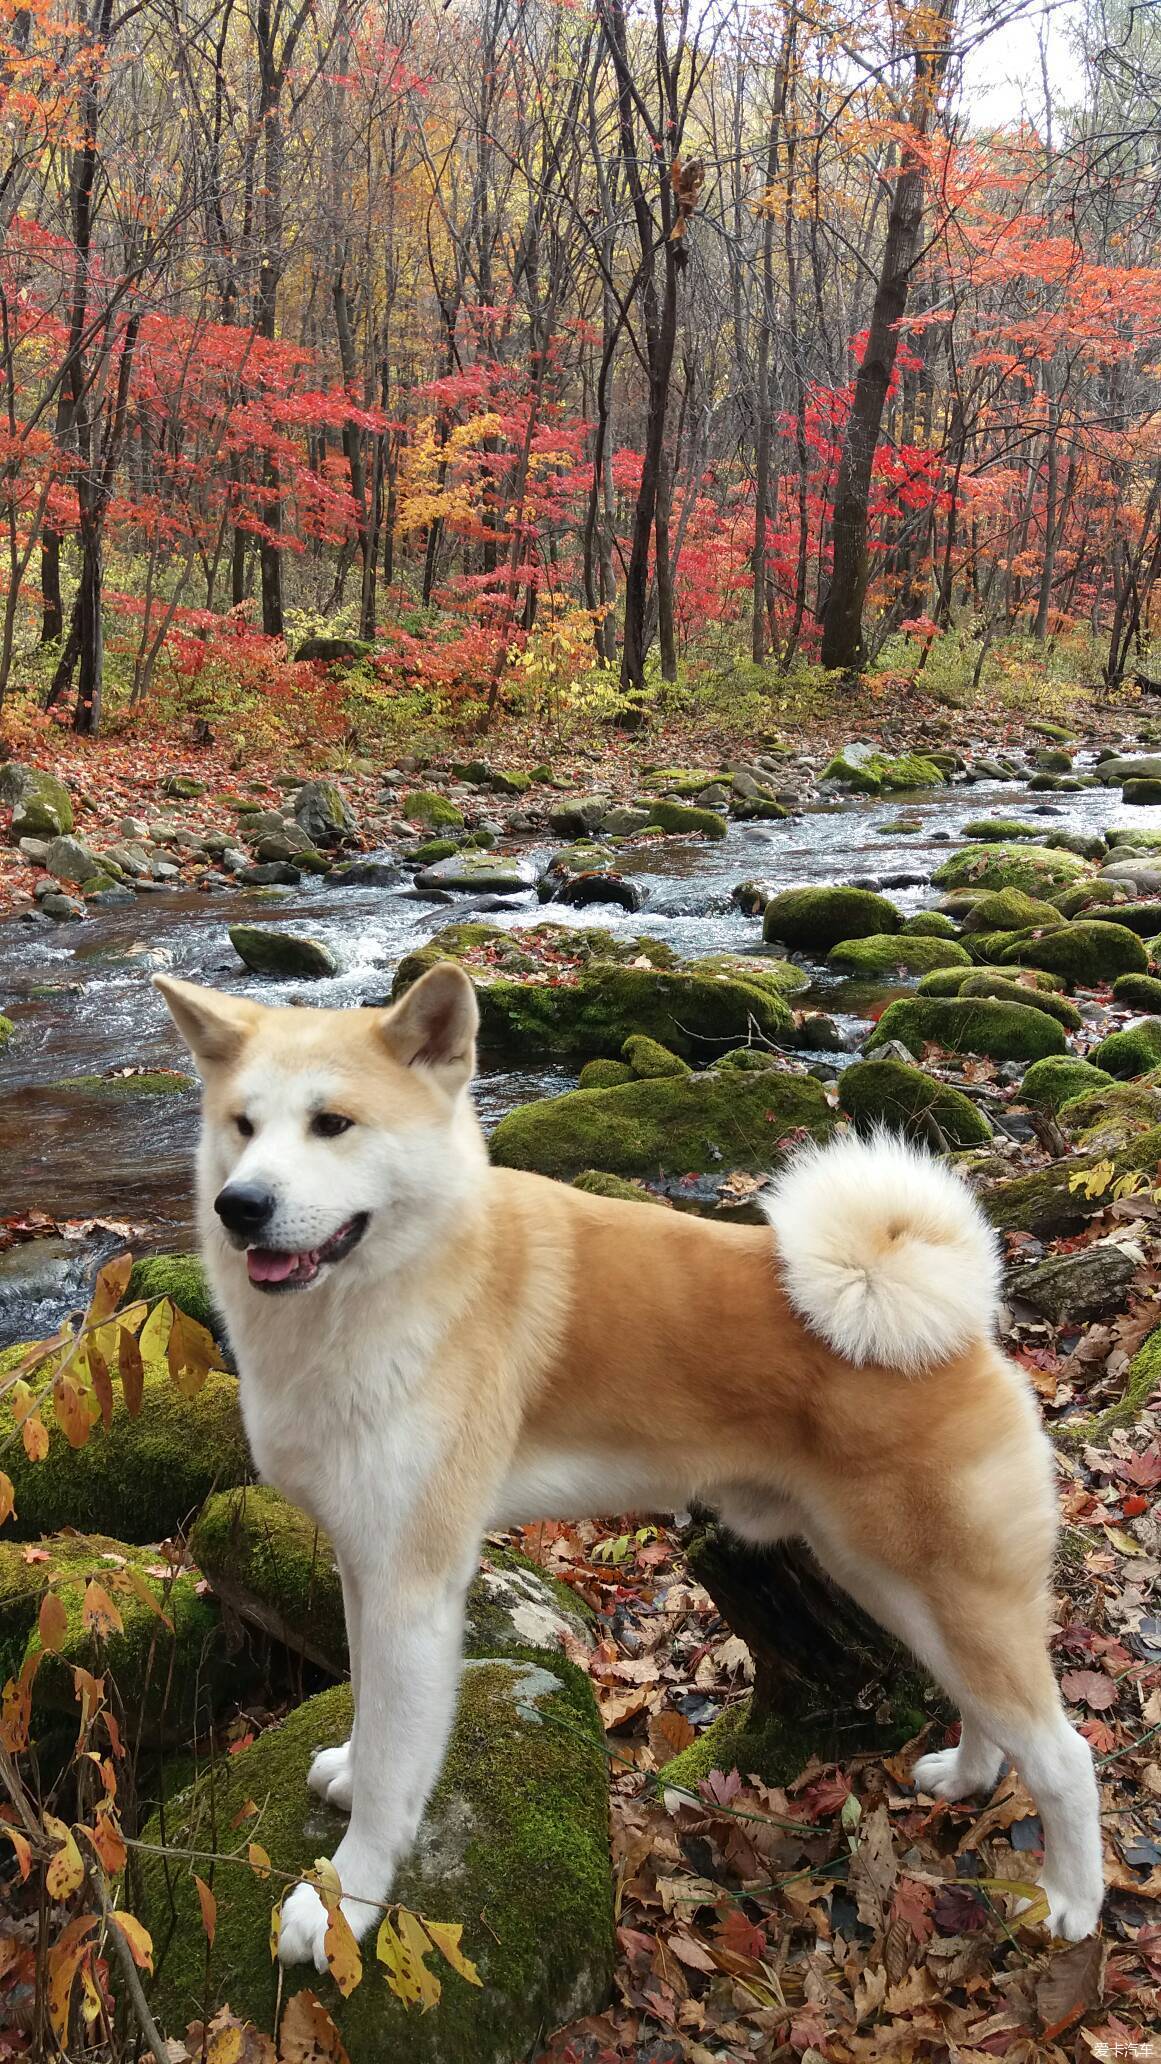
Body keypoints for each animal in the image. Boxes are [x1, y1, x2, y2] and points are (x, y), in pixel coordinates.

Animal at [155, 965, 1099, 1964]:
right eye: (242, 1126)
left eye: (332, 1123)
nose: (239, 1206)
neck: (415, 1279)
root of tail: (953, 1326)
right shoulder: (360, 1565)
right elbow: (369, 1717)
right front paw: (345, 1774)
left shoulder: (413, 1587)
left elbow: (389, 1776)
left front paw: (343, 1901)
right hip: (891, 1583)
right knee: (987, 1713)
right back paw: (966, 1778)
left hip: (943, 1586)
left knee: (1062, 1755)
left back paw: (1071, 1901)